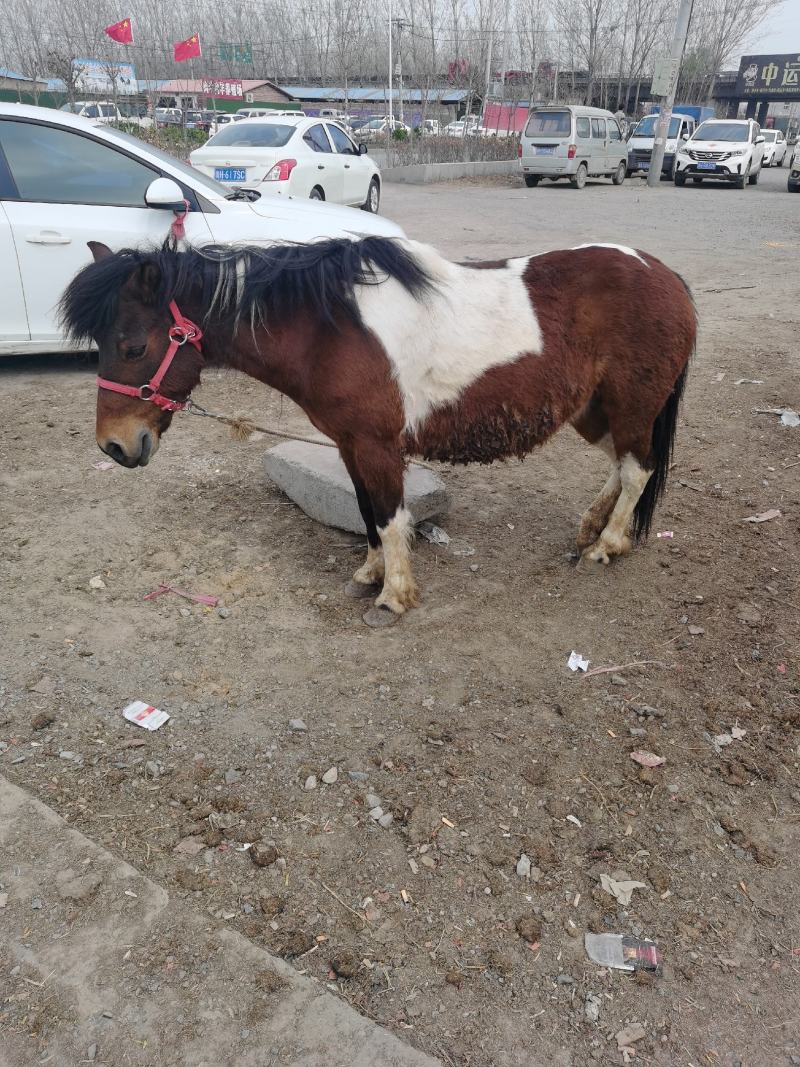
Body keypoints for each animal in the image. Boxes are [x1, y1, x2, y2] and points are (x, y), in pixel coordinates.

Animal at [59, 235, 696, 626]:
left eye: (133, 346)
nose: (115, 446)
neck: (330, 328)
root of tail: (667, 276)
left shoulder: (377, 445)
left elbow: (390, 517)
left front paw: (394, 595)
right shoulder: (348, 444)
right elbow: (366, 513)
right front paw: (369, 574)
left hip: (631, 406)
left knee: (637, 469)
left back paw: (608, 544)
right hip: (593, 411)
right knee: (621, 464)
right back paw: (591, 528)